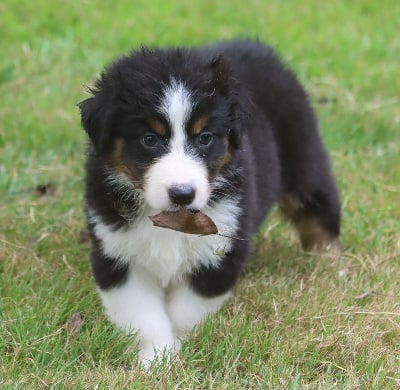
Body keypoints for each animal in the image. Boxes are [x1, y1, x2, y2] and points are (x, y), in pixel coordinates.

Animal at [79, 39, 340, 366]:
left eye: (204, 137)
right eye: (149, 139)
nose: (182, 194)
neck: (172, 220)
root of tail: (255, 46)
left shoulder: (221, 249)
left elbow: (185, 311)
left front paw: (175, 351)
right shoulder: (116, 254)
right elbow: (144, 317)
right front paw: (155, 360)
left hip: (304, 162)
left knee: (319, 213)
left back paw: (329, 263)